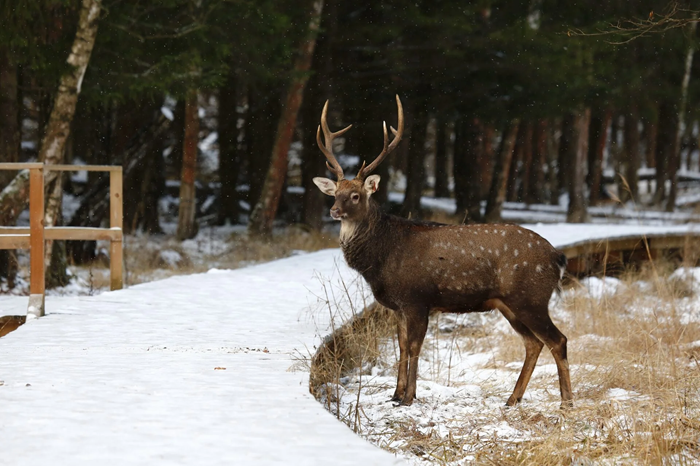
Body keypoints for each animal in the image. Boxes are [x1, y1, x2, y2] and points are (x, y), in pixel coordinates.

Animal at [314, 95, 572, 408]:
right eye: (335, 193)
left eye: (355, 195)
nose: (334, 210)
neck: (382, 259)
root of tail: (557, 258)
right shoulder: (397, 306)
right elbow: (402, 346)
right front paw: (395, 394)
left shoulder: (417, 298)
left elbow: (415, 346)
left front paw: (409, 397)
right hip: (508, 303)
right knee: (533, 343)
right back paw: (513, 399)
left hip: (531, 297)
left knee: (557, 340)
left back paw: (566, 403)